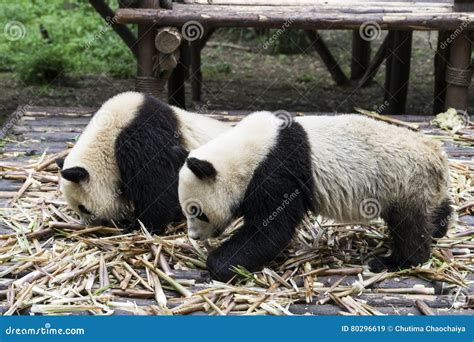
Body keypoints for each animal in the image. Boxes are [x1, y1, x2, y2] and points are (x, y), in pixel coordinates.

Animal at [178, 111, 452, 282]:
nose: (194, 236)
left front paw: (218, 265)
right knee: (432, 210)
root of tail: (439, 158)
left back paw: (395, 262)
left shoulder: (277, 170)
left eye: (197, 212)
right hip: (420, 186)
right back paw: (440, 225)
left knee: (409, 227)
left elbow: (269, 230)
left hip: (406, 182)